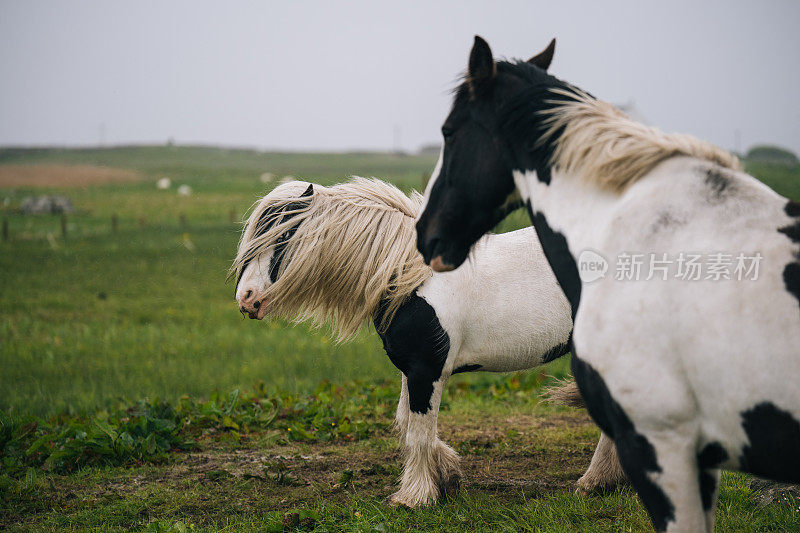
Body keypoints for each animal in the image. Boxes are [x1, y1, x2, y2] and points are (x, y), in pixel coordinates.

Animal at [231, 178, 624, 508]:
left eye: (283, 235)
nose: (246, 300)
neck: (410, 276)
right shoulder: (412, 370)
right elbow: (407, 425)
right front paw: (446, 475)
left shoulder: (427, 369)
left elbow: (419, 431)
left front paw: (414, 498)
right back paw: (599, 481)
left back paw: (595, 480)